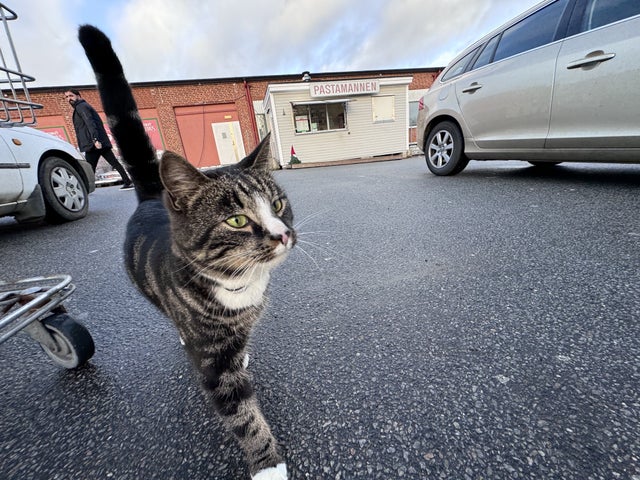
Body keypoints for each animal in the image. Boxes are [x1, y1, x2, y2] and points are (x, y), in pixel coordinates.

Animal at [78, 26, 296, 480]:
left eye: (278, 205)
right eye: (237, 220)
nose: (283, 234)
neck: (239, 286)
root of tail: (150, 196)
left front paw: (242, 354)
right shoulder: (213, 363)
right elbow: (243, 415)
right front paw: (269, 466)